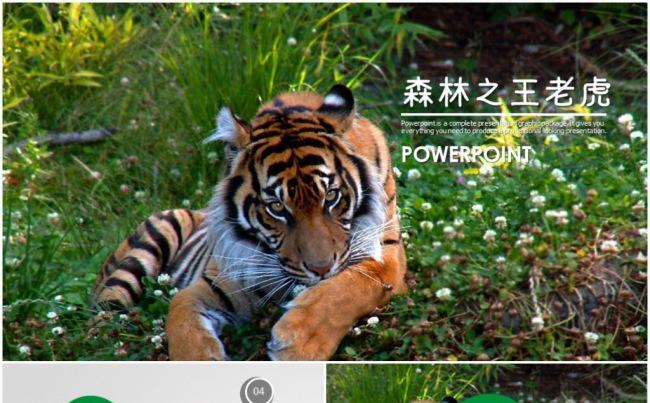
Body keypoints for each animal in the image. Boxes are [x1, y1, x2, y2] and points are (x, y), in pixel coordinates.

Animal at [93, 84, 407, 360]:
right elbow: (179, 310)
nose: (321, 270)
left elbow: (348, 287)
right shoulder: (223, 278)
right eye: (277, 207)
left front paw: (298, 343)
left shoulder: (386, 254)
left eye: (330, 196)